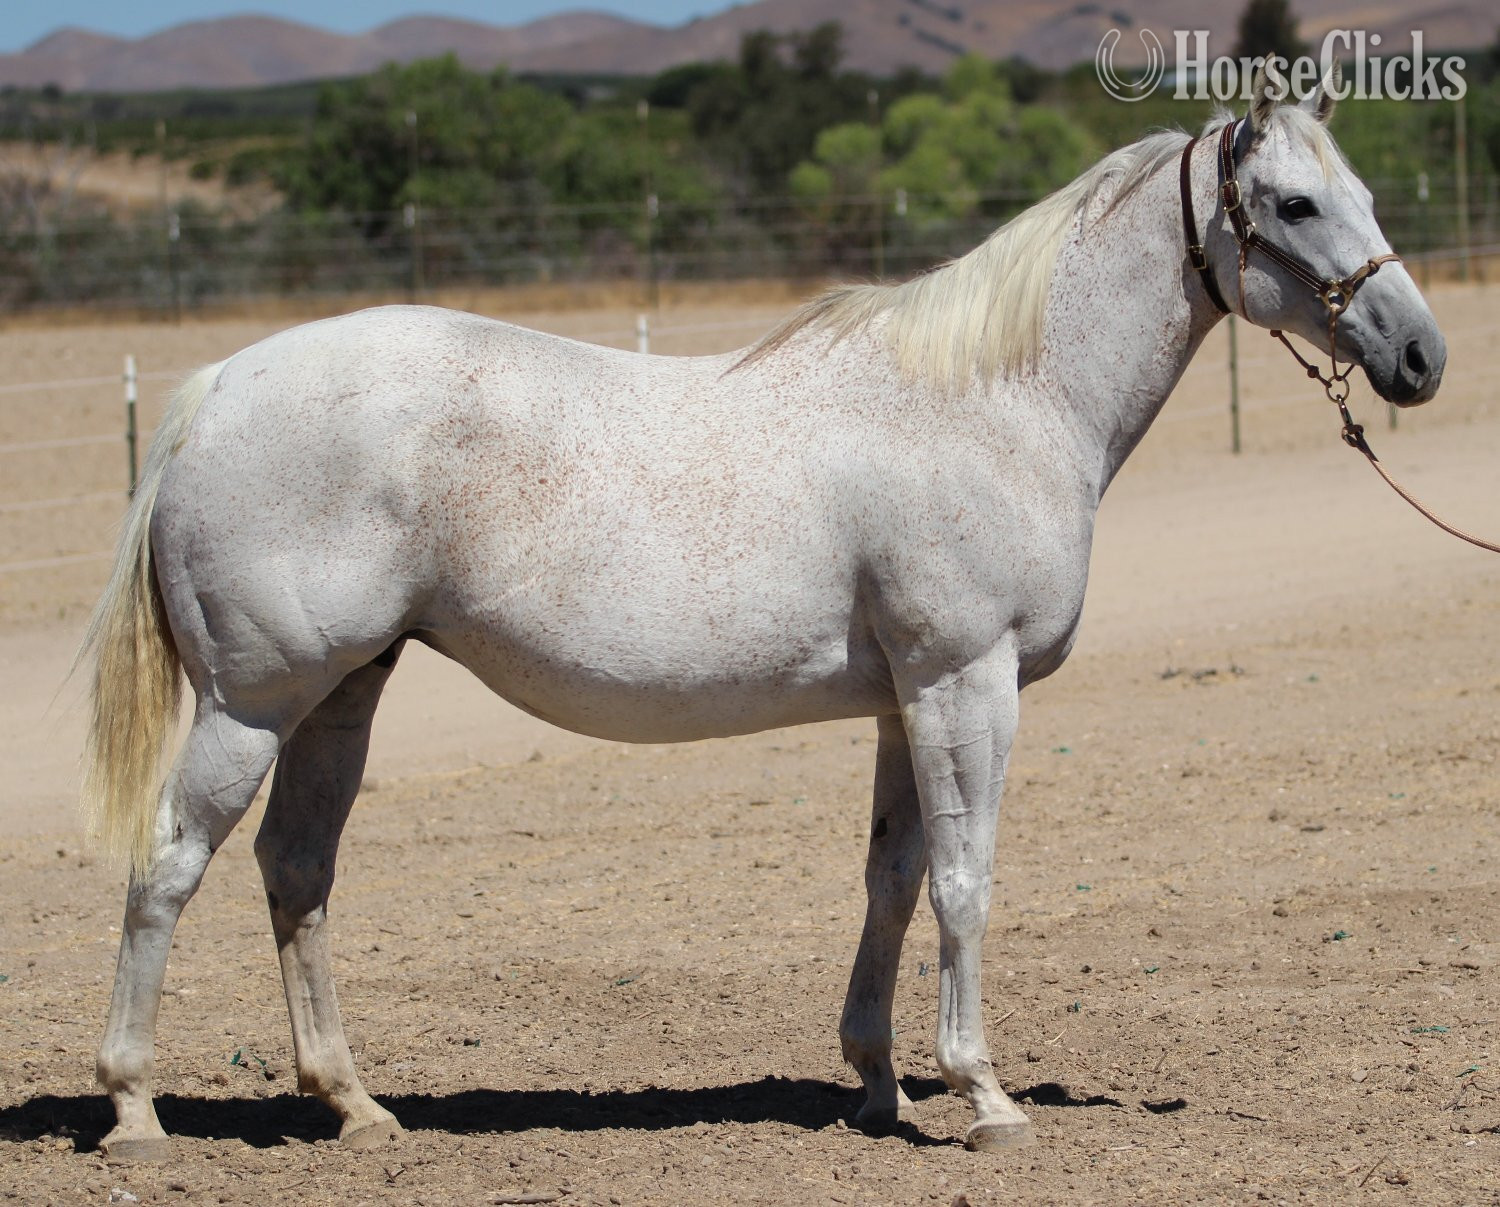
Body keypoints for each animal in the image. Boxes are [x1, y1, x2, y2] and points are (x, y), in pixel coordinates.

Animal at [80, 67, 1443, 1159]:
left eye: (1368, 191)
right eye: (1298, 206)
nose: (1422, 357)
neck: (1000, 399)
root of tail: (219, 388)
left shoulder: (905, 702)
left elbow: (892, 879)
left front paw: (880, 1086)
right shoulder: (967, 682)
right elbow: (964, 883)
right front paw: (984, 1097)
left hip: (341, 696)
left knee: (296, 869)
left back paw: (355, 1107)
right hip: (252, 705)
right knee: (169, 865)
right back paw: (135, 1111)